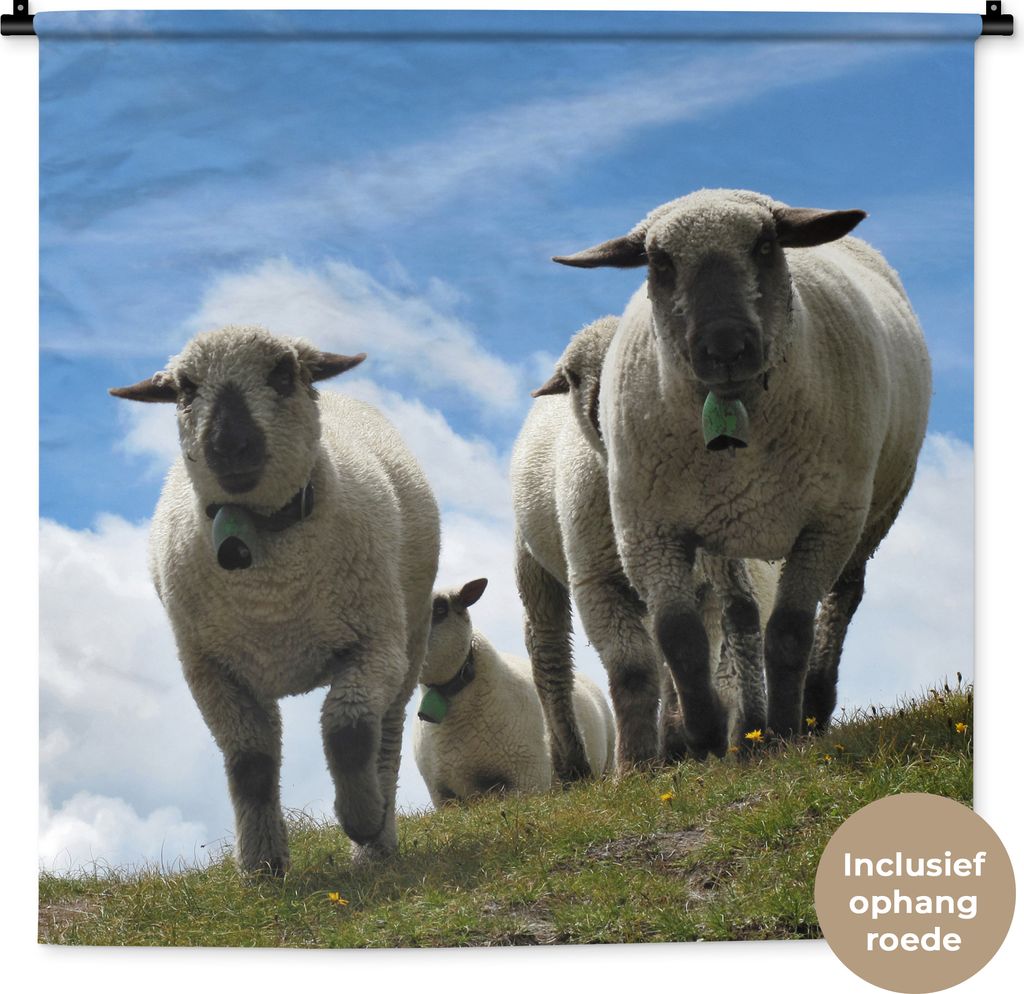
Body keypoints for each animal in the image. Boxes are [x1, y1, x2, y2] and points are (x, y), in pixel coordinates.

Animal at [109, 325, 440, 873]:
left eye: (283, 375)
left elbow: (348, 730)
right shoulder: (211, 671)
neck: (272, 595)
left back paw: (375, 844)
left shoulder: (375, 645)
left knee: (386, 737)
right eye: (184, 389)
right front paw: (262, 865)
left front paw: (359, 818)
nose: (229, 444)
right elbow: (251, 761)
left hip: (409, 640)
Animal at [511, 317, 776, 774]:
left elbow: (688, 656)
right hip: (534, 565)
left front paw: (681, 741)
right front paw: (635, 763)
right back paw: (572, 767)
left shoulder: (702, 587)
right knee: (549, 654)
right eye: (574, 377)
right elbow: (632, 670)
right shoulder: (595, 581)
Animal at [553, 188, 931, 754]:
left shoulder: (826, 524)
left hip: (873, 512)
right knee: (737, 614)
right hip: (721, 528)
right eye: (659, 263)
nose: (726, 347)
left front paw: (783, 732)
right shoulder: (649, 530)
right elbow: (681, 638)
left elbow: (791, 632)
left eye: (766, 246)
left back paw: (812, 708)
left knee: (841, 601)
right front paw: (704, 735)